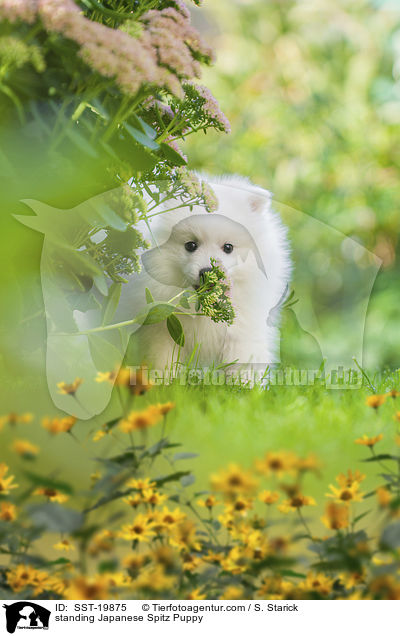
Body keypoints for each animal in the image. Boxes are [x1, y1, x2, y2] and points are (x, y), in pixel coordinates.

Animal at [115, 175, 290, 378]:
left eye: (228, 247)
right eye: (191, 245)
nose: (207, 272)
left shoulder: (243, 331)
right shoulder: (162, 331)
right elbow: (163, 364)